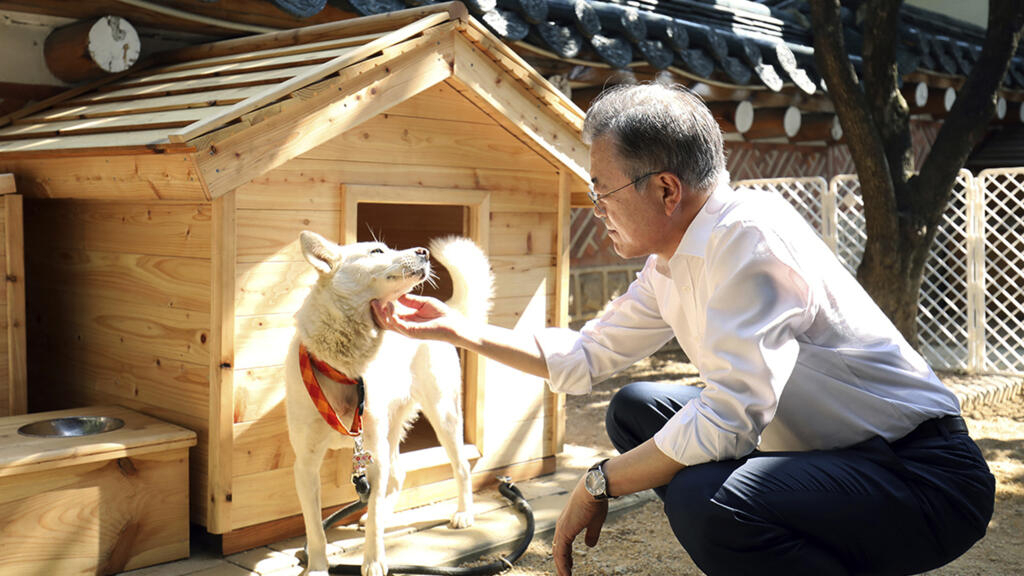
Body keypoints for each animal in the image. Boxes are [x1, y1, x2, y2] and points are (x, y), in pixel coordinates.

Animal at [284, 229, 491, 573]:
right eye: (376, 251)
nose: (423, 252)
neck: (344, 367)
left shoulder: (372, 454)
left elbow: (375, 526)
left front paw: (373, 561)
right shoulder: (306, 464)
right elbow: (315, 529)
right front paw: (317, 567)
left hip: (442, 415)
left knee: (460, 465)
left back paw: (464, 513)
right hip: (392, 429)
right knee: (398, 475)